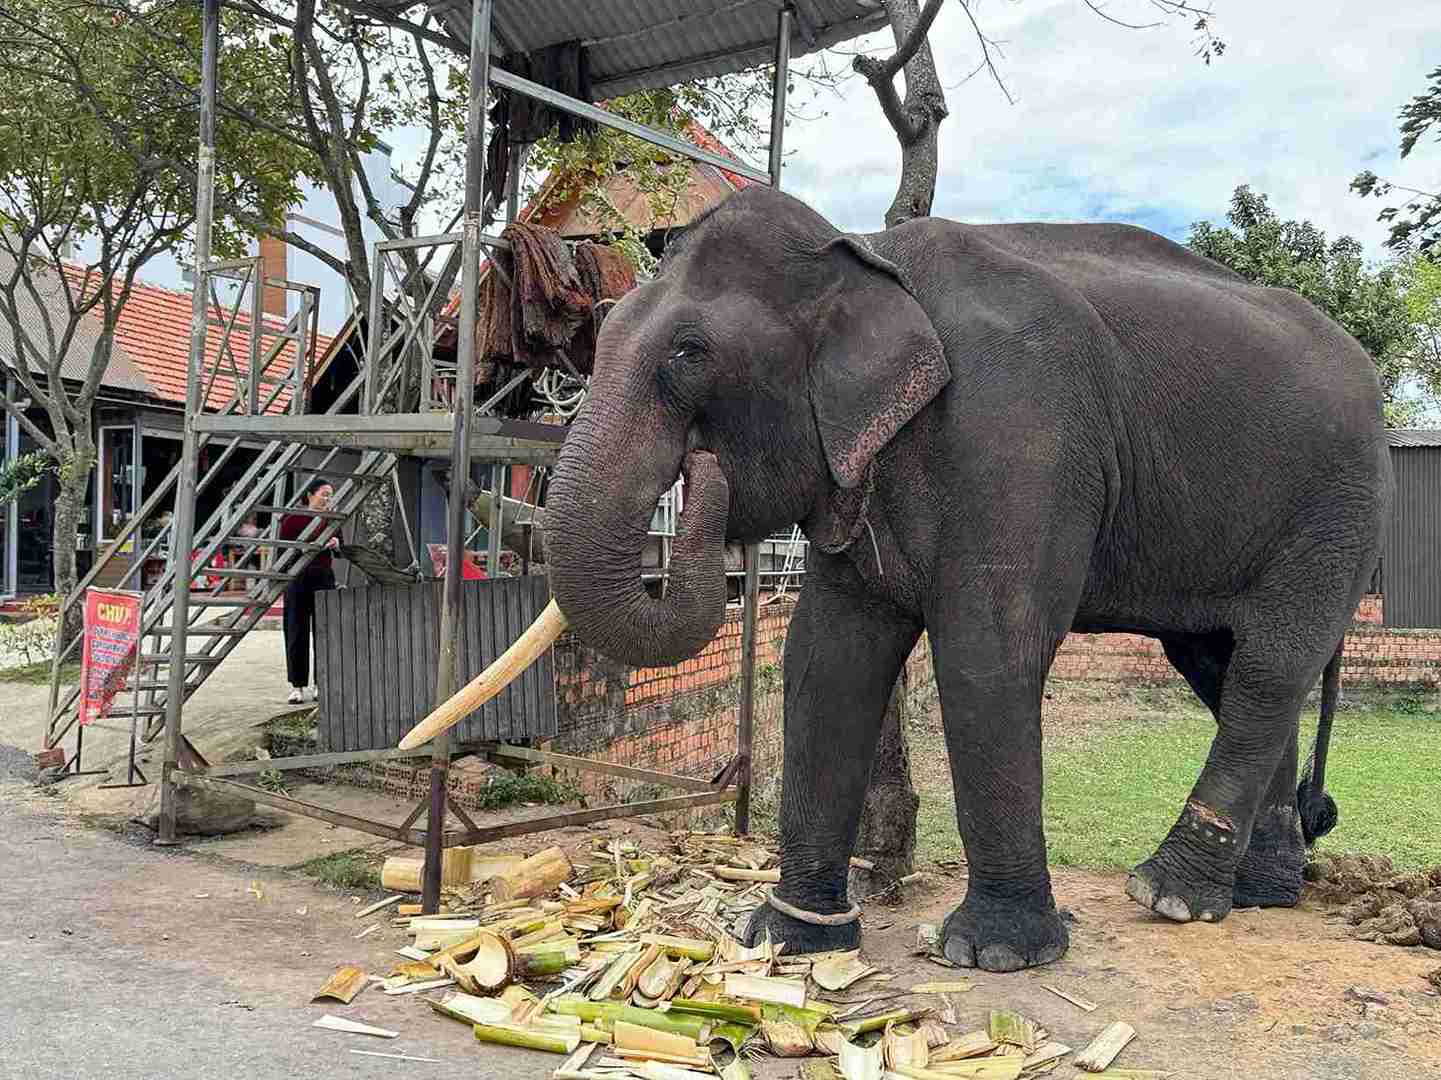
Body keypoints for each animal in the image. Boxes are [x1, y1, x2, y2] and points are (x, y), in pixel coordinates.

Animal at [527, 184, 1392, 971]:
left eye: (689, 354)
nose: (700, 473)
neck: (868, 253)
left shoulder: (1016, 428)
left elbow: (987, 651)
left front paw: (991, 954)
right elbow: (824, 659)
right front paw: (787, 937)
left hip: (1336, 507)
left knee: (1268, 667)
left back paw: (1166, 894)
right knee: (1222, 666)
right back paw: (1252, 895)